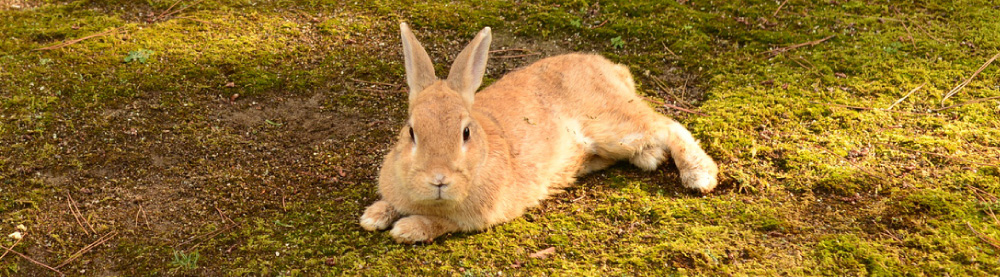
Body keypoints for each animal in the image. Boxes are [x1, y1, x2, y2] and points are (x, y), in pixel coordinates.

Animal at [360, 24, 720, 244]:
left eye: (465, 132)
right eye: (411, 132)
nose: (439, 179)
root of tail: (613, 70)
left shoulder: (477, 216)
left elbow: (440, 222)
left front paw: (406, 229)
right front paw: (374, 216)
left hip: (612, 124)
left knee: (668, 126)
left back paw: (699, 175)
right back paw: (649, 157)